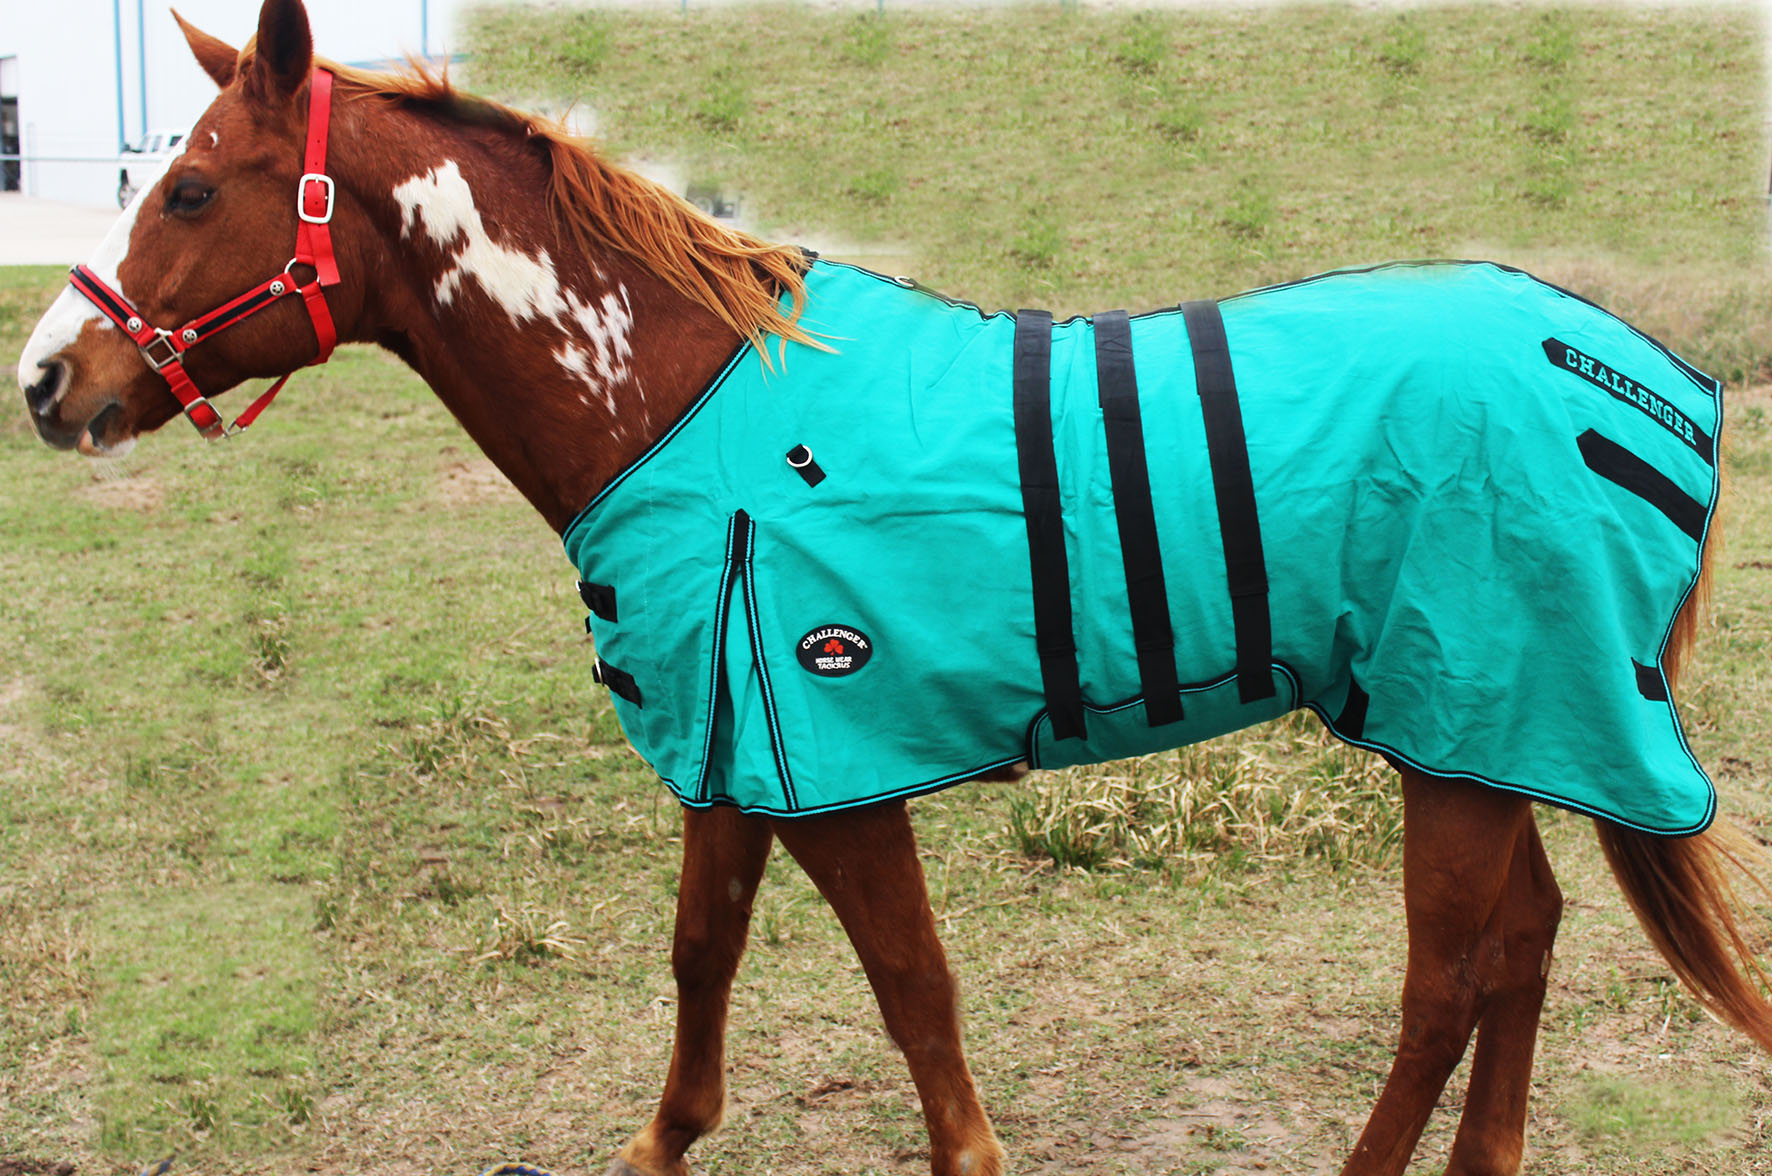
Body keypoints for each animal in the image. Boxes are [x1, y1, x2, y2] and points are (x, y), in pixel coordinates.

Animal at [15, 2, 1772, 1173]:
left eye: (191, 188)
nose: (47, 382)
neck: (677, 395)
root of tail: (1654, 378)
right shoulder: (736, 753)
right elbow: (702, 967)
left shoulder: (835, 765)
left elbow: (915, 995)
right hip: (1477, 730)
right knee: (1523, 946)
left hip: (1466, 723)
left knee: (1448, 978)